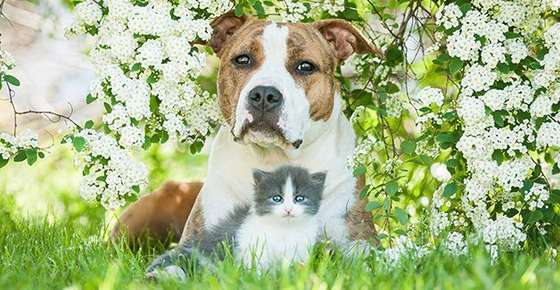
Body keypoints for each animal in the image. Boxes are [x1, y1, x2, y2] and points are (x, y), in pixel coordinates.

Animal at [147, 165, 326, 278]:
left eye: (299, 198)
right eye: (277, 198)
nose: (288, 210)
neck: (285, 229)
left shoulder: (300, 250)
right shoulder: (251, 245)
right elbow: (256, 267)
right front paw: (257, 279)